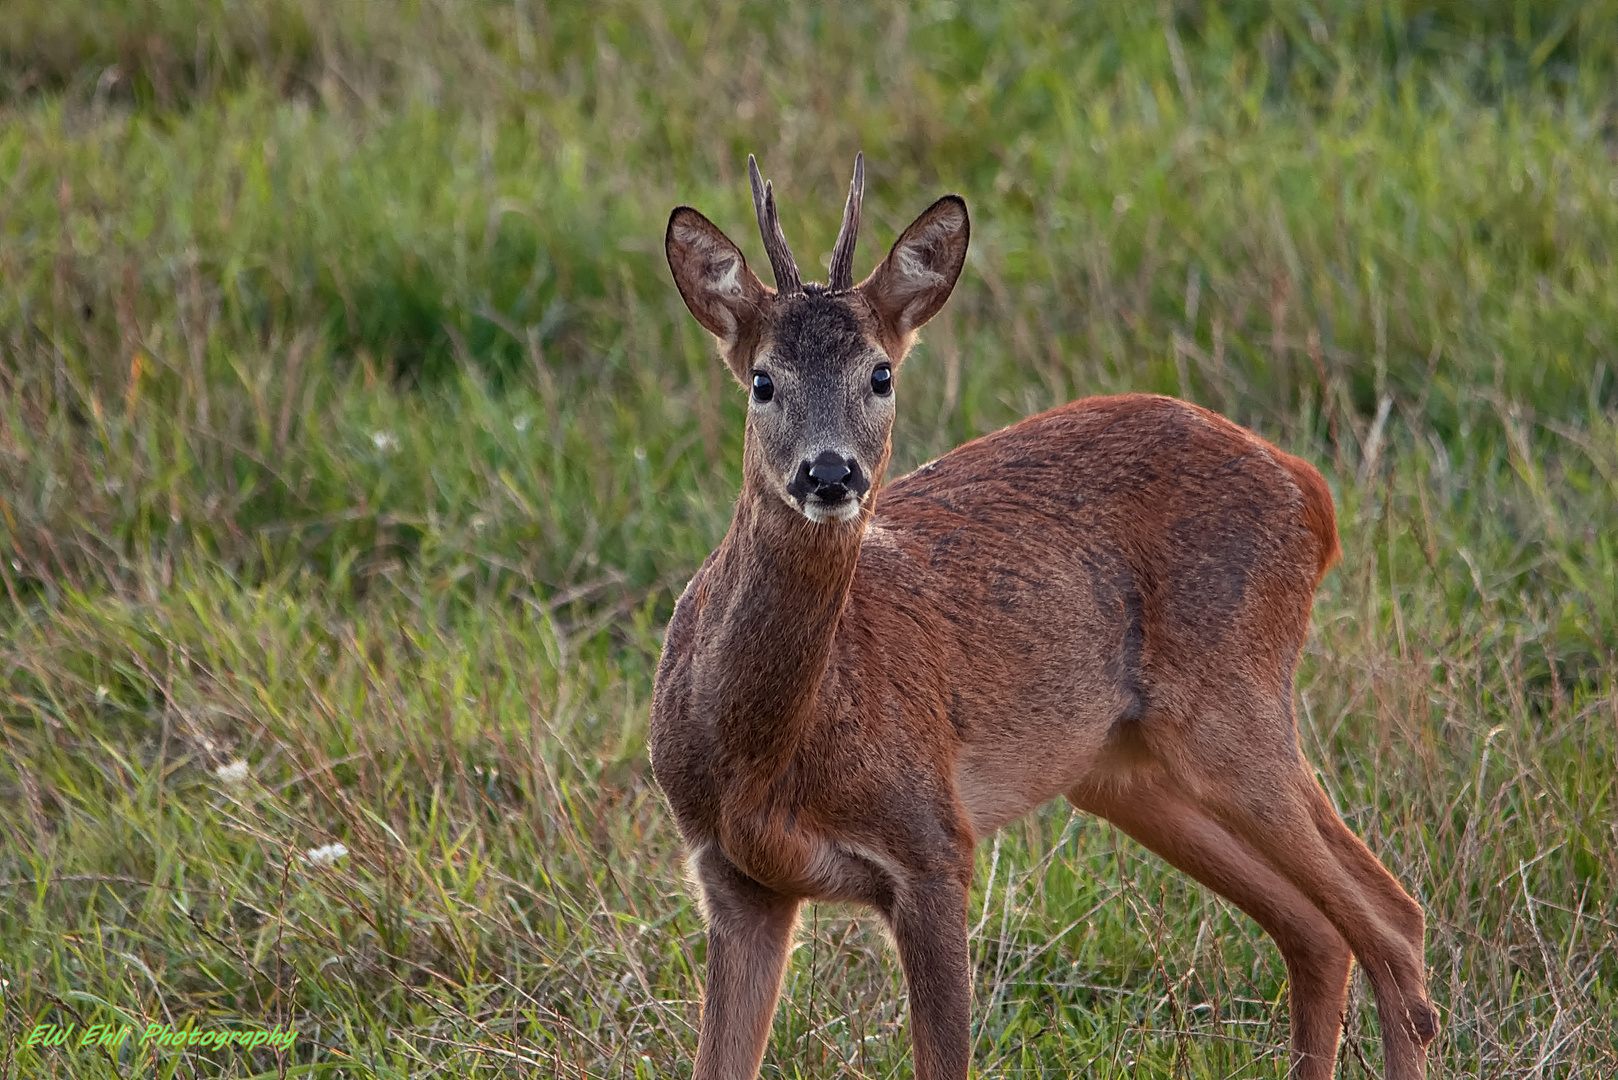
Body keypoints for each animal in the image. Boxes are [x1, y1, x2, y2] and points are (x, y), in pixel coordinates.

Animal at [647, 158, 1443, 1080]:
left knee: (1392, 918)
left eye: (881, 373)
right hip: (1121, 767)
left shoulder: (934, 845)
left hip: (1232, 706)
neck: (764, 755)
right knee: (1318, 930)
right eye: (762, 380)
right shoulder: (733, 879)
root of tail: (1314, 494)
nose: (831, 473)